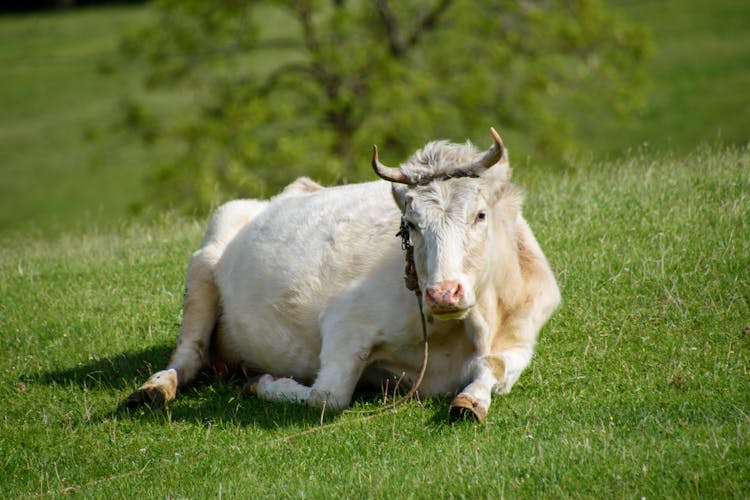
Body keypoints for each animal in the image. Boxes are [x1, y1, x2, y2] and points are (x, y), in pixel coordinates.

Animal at [129, 129, 560, 422]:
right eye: (411, 224)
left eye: (480, 214)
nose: (443, 294)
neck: (476, 325)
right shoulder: (346, 323)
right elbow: (327, 396)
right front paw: (264, 384)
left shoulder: (521, 334)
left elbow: (495, 369)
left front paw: (471, 401)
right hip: (203, 264)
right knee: (188, 354)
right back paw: (154, 389)